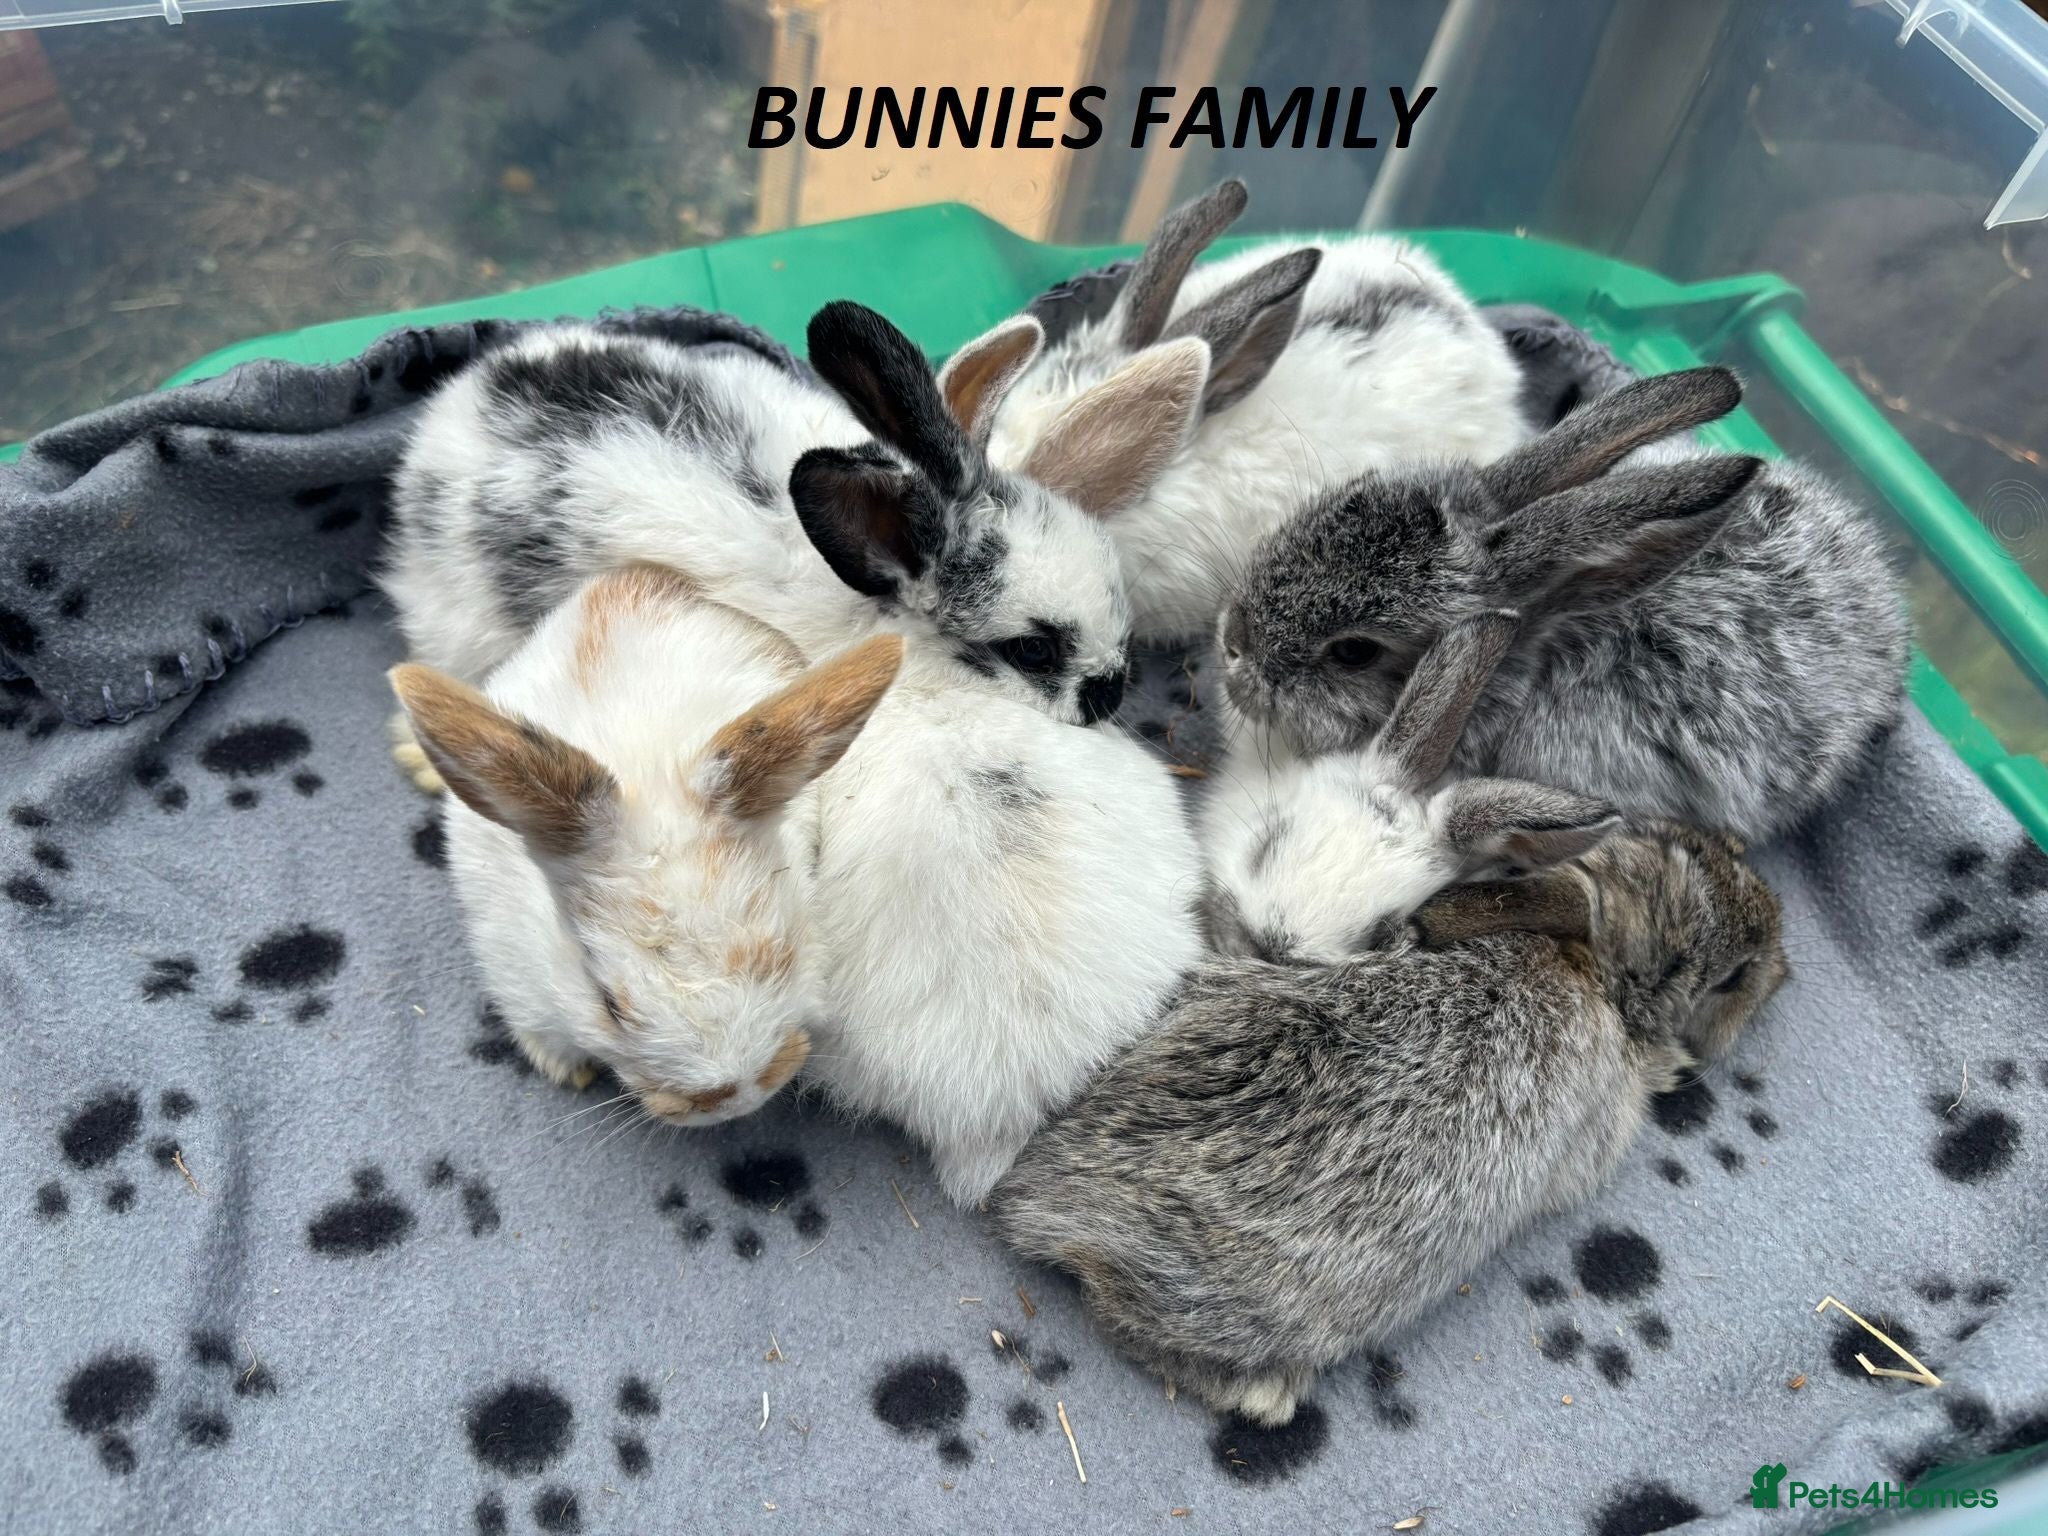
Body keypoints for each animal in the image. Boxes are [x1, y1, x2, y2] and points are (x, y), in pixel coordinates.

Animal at [990, 819, 1787, 1427]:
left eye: (1703, 843)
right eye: (1730, 977)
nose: (1784, 972)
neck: (1587, 964)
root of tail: (1045, 1202)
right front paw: (1674, 1067)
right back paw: (1266, 1399)